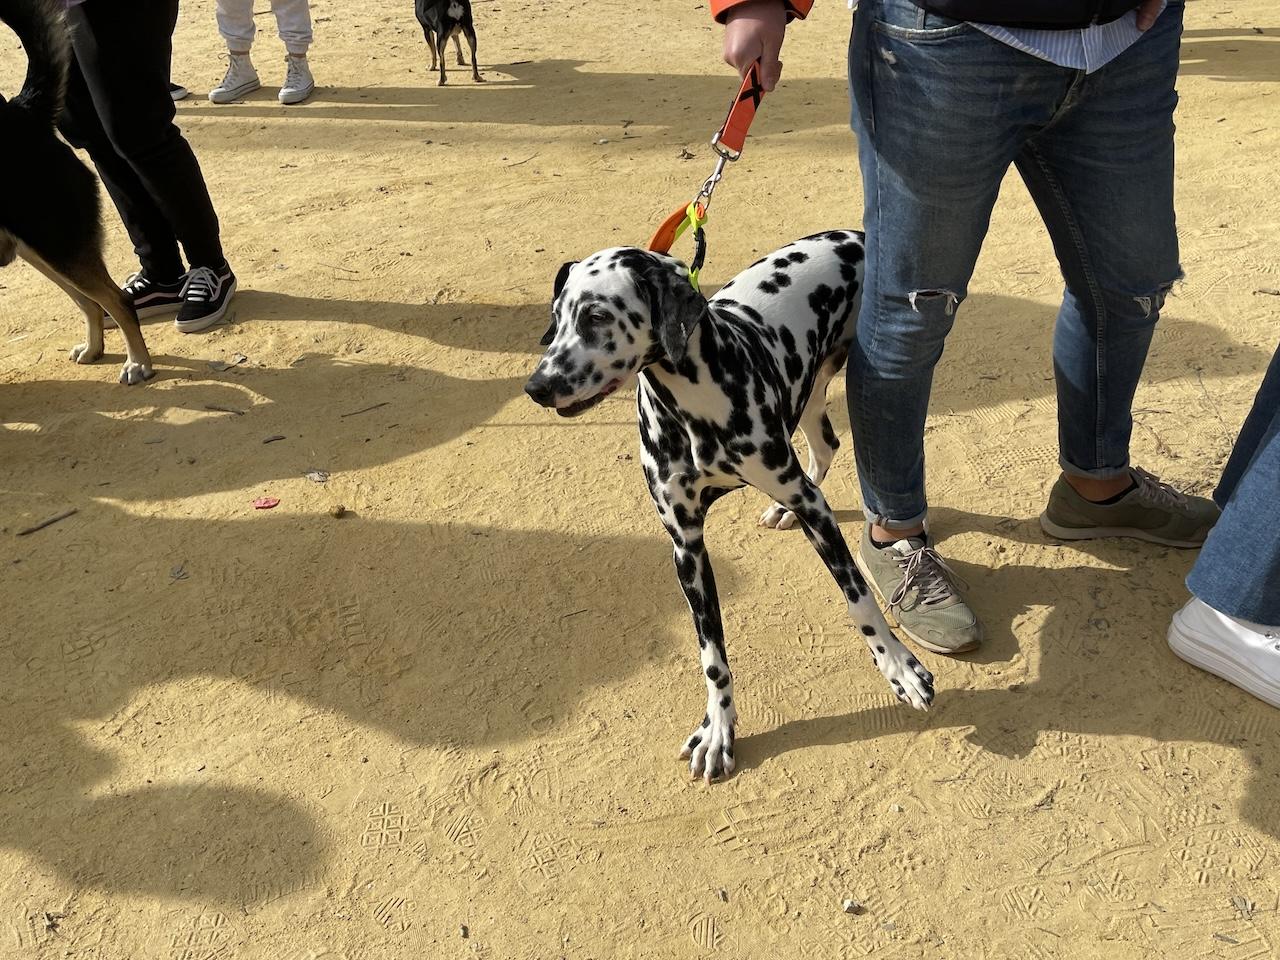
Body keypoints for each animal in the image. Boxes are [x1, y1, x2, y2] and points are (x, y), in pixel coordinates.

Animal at [0, 0, 152, 384]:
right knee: (90, 304)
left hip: (58, 246)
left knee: (116, 301)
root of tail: (22, 112)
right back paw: (95, 348)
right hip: (42, 252)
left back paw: (138, 362)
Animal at [524, 232, 936, 783]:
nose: (536, 387)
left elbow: (860, 600)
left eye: (596, 315)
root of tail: (854, 235)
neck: (692, 407)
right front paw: (718, 730)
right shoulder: (687, 549)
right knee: (826, 444)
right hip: (806, 397)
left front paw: (899, 667)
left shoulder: (815, 508)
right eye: (557, 315)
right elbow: (712, 655)